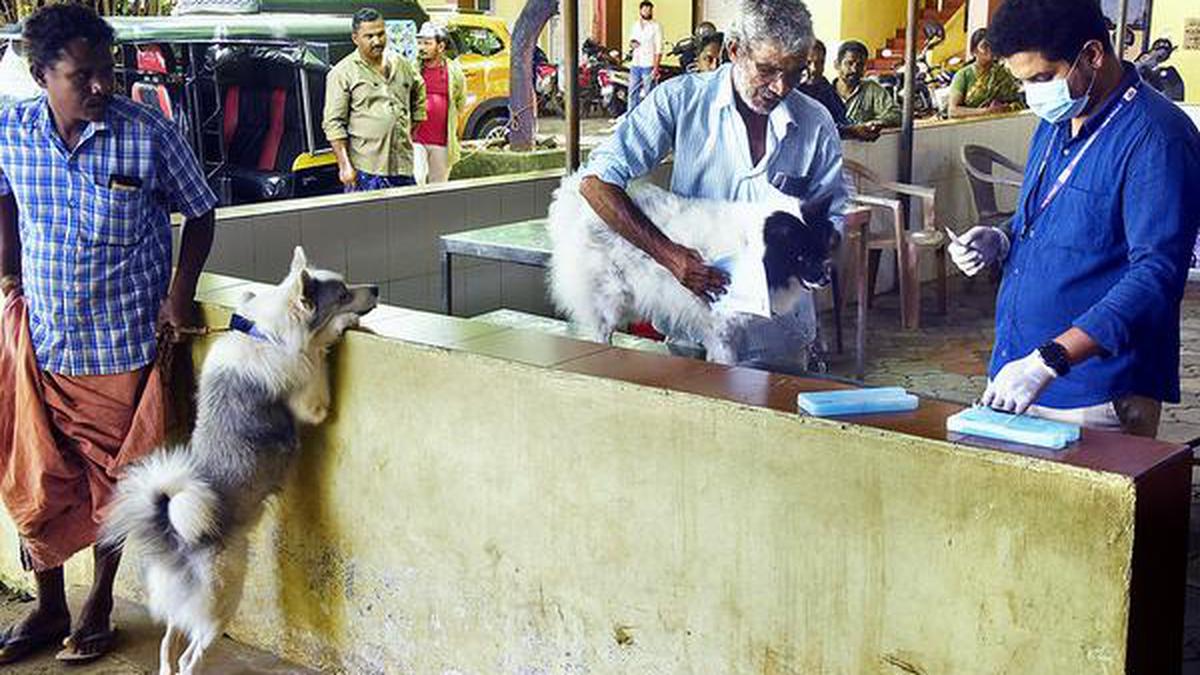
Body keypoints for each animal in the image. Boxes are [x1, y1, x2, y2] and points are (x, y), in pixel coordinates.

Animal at [102, 247, 374, 672]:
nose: (375, 289)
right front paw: (341, 325)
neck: (267, 334)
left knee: (168, 645)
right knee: (190, 658)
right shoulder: (312, 401)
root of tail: (176, 537)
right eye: (344, 294)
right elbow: (315, 356)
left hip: (187, 608)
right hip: (223, 599)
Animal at [547, 172, 835, 362]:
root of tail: (575, 201)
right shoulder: (721, 321)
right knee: (602, 329)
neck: (754, 249)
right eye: (800, 257)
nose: (826, 279)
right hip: (610, 298)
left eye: (820, 251)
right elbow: (726, 357)